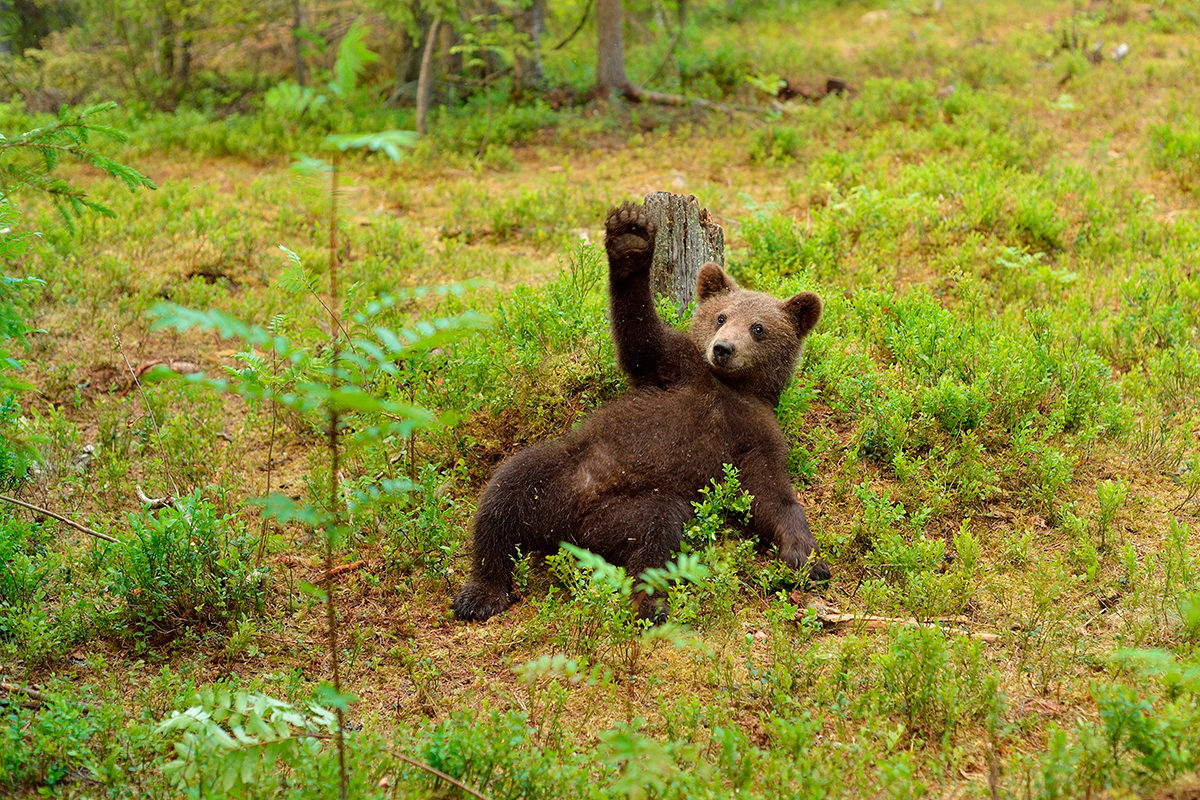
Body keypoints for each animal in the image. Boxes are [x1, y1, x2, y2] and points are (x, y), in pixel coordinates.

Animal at [451, 201, 825, 623]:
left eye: (759, 328)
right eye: (721, 316)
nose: (723, 348)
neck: (729, 388)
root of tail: (563, 529)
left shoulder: (756, 435)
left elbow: (770, 494)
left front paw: (806, 554)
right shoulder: (677, 369)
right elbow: (641, 338)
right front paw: (630, 242)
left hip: (628, 510)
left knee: (655, 533)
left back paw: (648, 600)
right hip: (557, 470)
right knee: (502, 494)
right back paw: (481, 593)